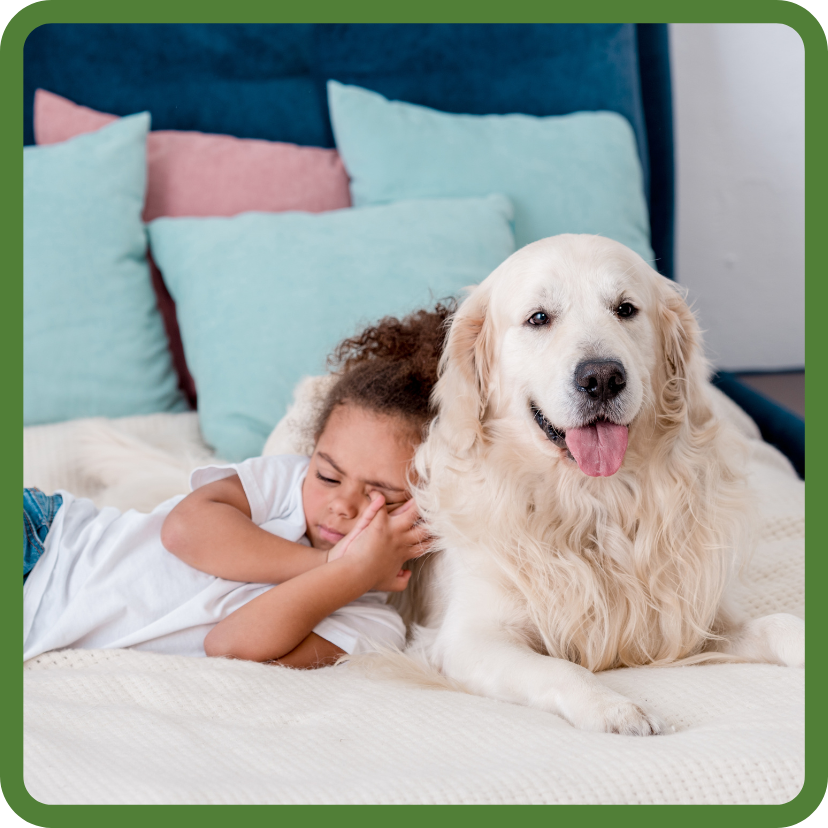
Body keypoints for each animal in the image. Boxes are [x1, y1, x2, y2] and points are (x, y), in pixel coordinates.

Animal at [404, 234, 804, 736]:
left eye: (625, 309)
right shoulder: (467, 639)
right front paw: (617, 709)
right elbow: (559, 668)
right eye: (539, 317)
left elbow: (778, 623)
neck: (594, 502)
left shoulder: (694, 620)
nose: (601, 378)